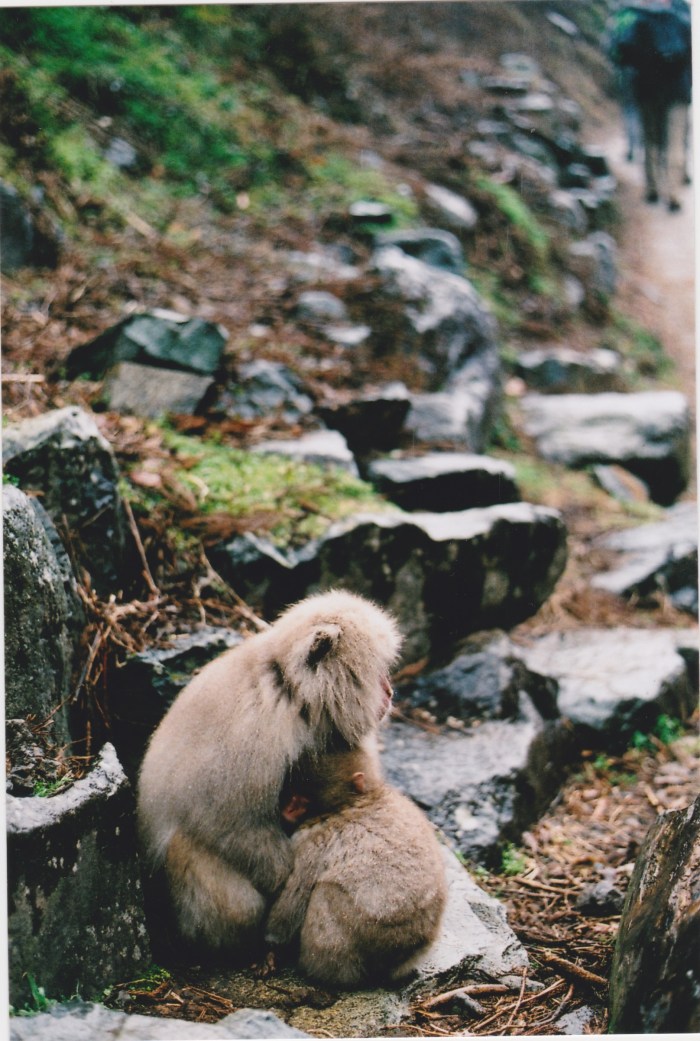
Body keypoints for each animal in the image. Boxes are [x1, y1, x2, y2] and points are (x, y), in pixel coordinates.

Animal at [136, 589, 402, 956]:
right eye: (376, 671)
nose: (389, 691)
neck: (291, 693)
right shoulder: (254, 735)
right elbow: (226, 821)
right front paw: (282, 877)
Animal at [266, 745, 448, 989]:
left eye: (298, 801)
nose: (284, 809)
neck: (357, 801)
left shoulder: (309, 841)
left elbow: (289, 907)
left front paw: (269, 947)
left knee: (325, 894)